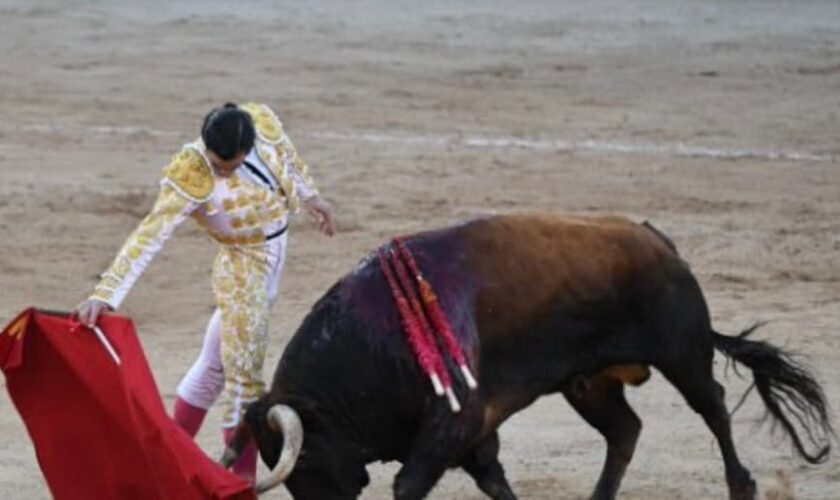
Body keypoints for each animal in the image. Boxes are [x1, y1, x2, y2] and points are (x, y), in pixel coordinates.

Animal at [220, 213, 832, 498]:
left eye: (306, 457)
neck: (374, 341)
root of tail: (657, 238)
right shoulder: (472, 432)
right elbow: (495, 481)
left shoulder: (451, 424)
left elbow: (409, 484)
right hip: (588, 382)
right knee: (625, 429)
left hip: (683, 353)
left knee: (715, 407)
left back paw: (742, 485)